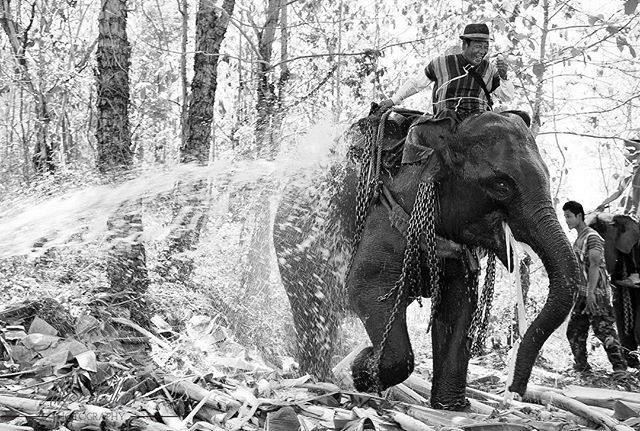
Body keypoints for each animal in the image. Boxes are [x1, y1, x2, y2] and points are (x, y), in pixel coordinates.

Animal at [273, 109, 581, 410]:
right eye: (502, 184)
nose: (515, 392)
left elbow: (458, 303)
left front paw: (451, 408)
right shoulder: (388, 214)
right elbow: (365, 287)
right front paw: (363, 369)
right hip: (295, 248)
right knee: (313, 308)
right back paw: (320, 384)